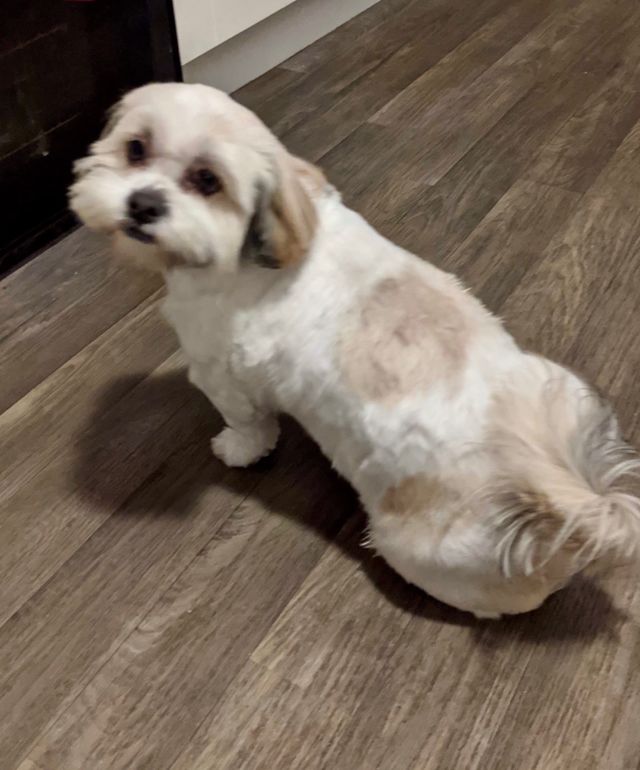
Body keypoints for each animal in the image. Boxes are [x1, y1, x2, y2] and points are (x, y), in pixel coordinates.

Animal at [70, 82, 640, 618]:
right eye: (135, 148)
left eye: (207, 181)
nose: (143, 203)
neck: (263, 243)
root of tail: (543, 494)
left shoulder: (220, 371)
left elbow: (249, 425)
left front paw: (238, 449)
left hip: (421, 551)